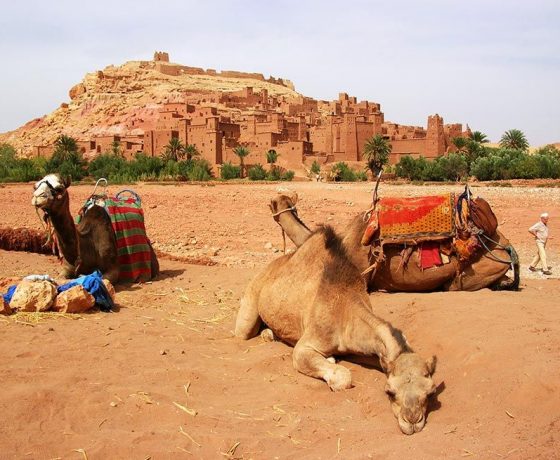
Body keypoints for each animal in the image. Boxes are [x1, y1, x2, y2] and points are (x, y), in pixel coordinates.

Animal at [235, 226, 438, 434]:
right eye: (389, 391)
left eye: (430, 392)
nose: (412, 420)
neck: (345, 311)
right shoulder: (305, 346)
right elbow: (342, 376)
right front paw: (333, 376)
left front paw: (332, 358)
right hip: (250, 302)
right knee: (244, 331)